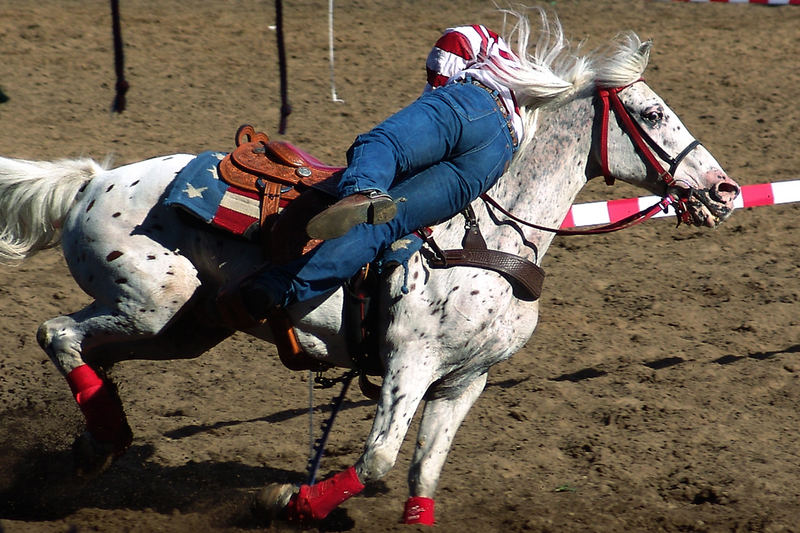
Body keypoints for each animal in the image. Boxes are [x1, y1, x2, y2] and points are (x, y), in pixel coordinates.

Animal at [0, 15, 736, 524]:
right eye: (651, 113)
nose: (724, 190)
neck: (491, 238)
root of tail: (93, 180)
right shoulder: (411, 361)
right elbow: (379, 461)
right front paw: (290, 501)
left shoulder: (464, 380)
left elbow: (421, 477)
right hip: (151, 307)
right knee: (55, 332)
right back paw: (100, 441)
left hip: (183, 328)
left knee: (86, 350)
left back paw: (96, 444)